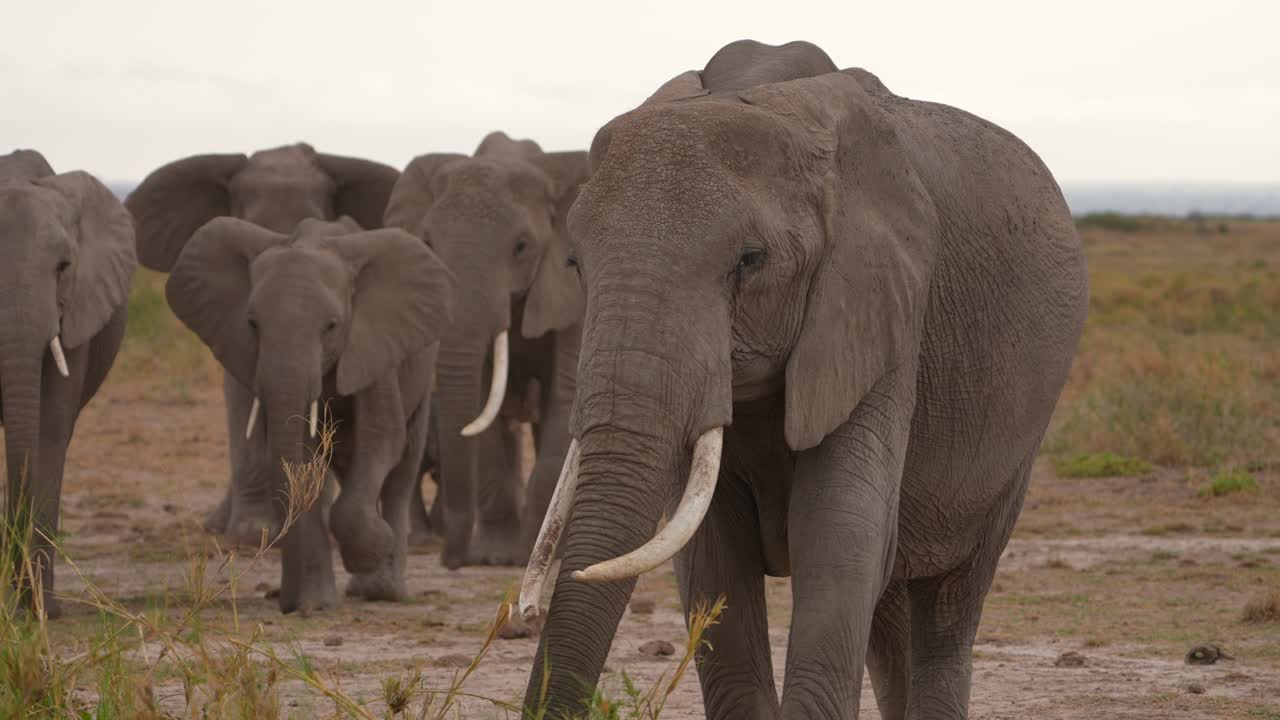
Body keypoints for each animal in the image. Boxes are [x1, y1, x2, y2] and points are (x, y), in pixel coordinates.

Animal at [165, 216, 454, 613]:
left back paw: (385, 589)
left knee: (402, 469)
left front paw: (372, 549)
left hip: (421, 373)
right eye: (252, 323)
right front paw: (314, 606)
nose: (290, 605)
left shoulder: (372, 346)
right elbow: (302, 460)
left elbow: (382, 438)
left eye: (331, 326)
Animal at [384, 132, 589, 568]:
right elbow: (483, 408)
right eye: (427, 242)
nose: (450, 560)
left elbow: (564, 395)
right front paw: (495, 558)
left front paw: (530, 556)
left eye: (522, 246)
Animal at [516, 40, 1088, 719]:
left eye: (750, 261)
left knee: (948, 604)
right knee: (887, 609)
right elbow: (713, 554)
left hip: (1017, 444)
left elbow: (837, 529)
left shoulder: (883, 306)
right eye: (574, 262)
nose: (527, 612)